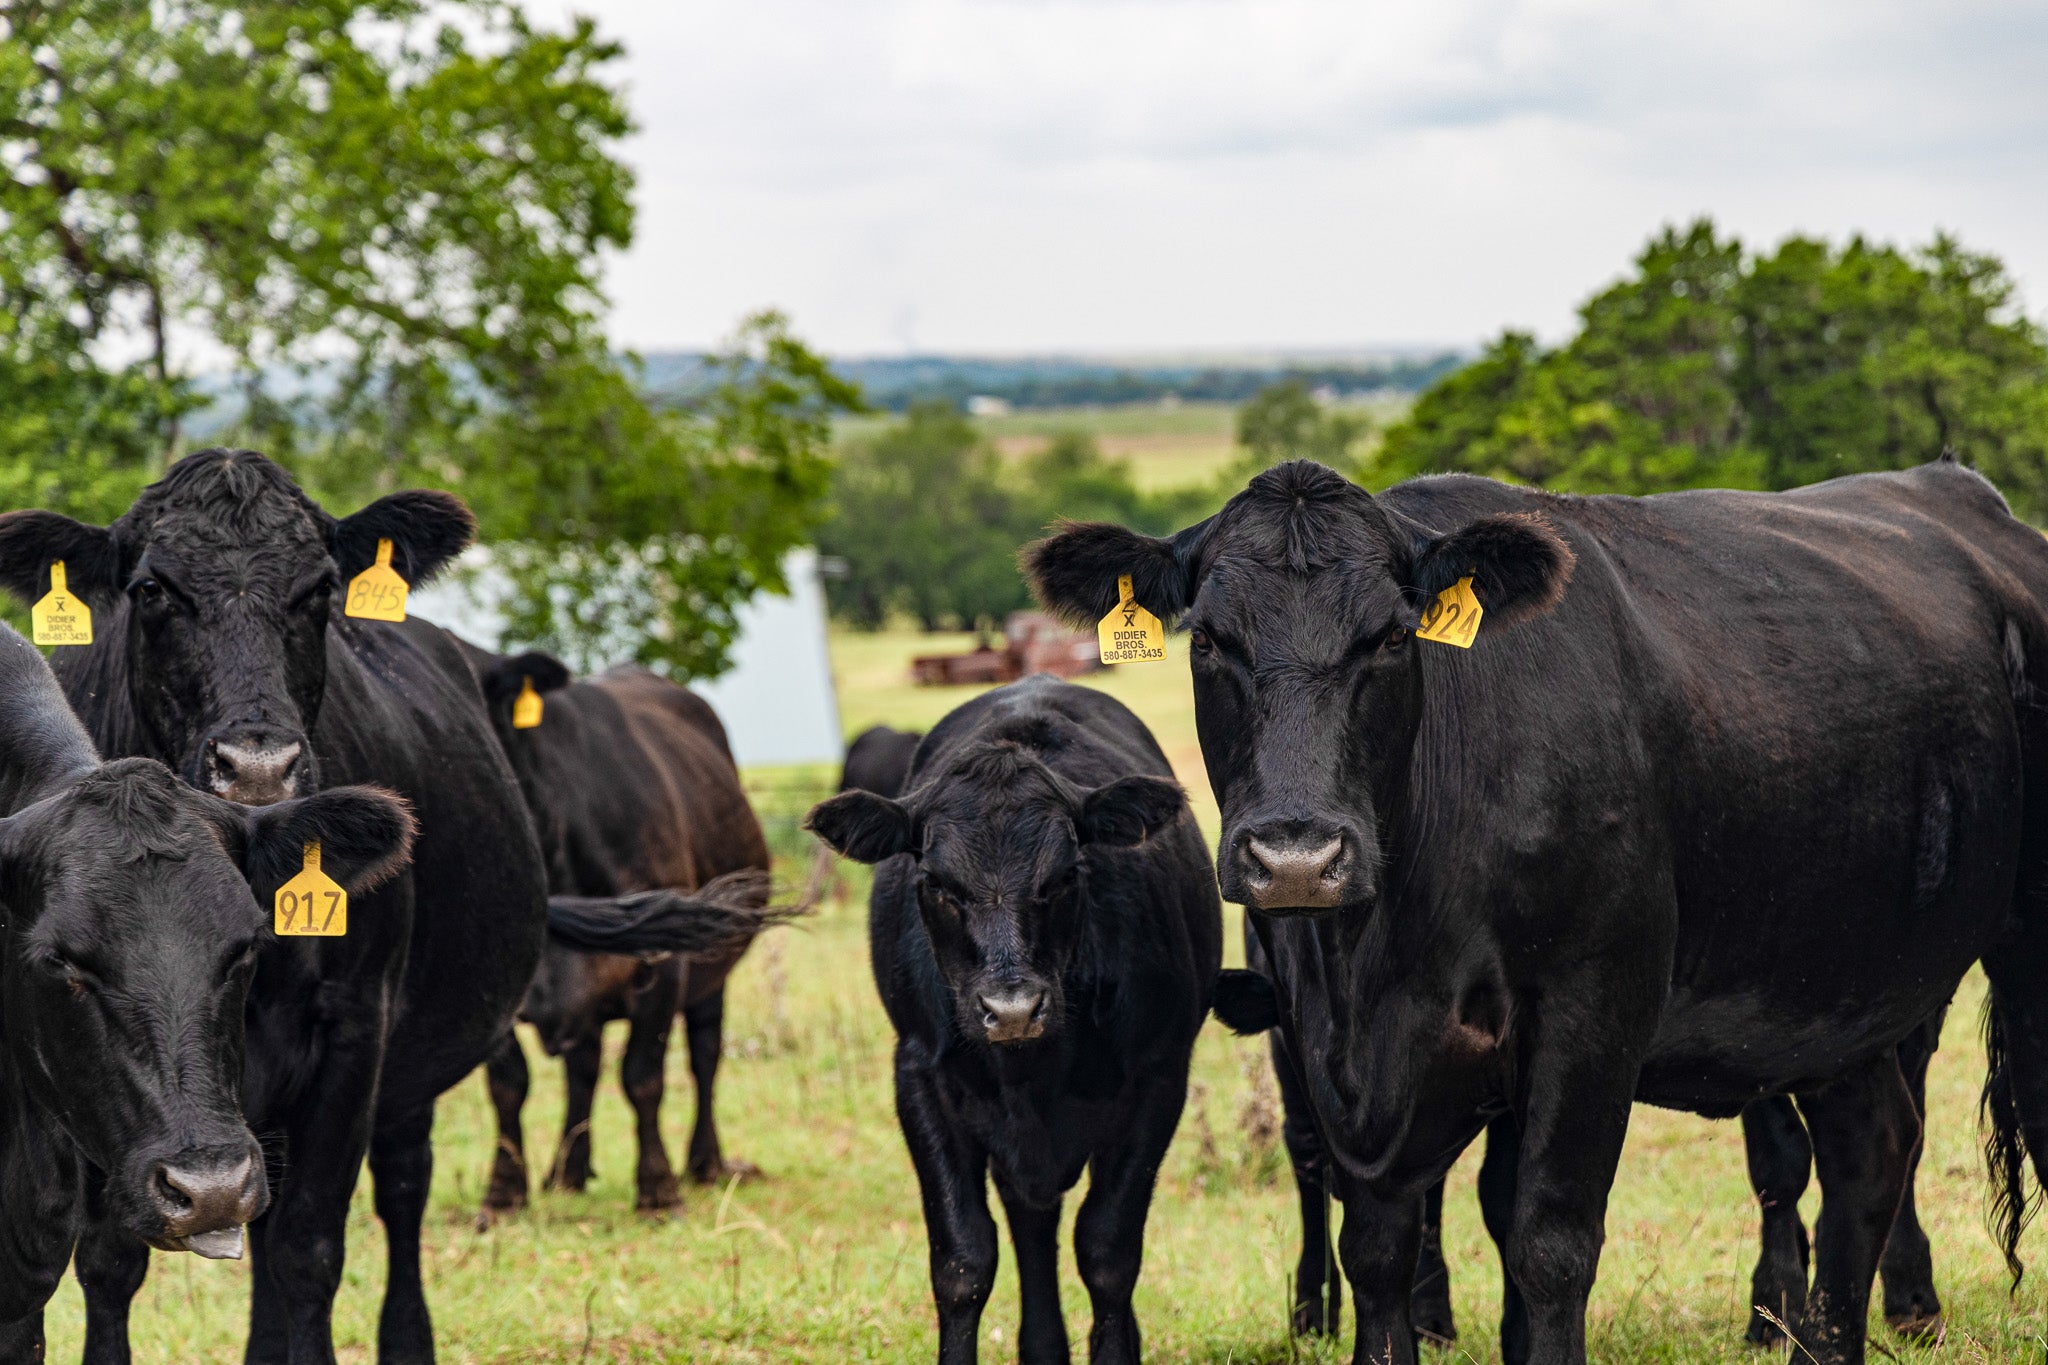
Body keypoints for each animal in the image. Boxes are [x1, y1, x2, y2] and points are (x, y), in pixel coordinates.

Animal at [462, 646, 774, 1219]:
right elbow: (508, 1082)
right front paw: (503, 1194)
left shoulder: (665, 965)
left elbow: (642, 1076)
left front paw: (657, 1190)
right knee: (582, 1067)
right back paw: (567, 1171)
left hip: (712, 970)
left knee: (704, 1056)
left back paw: (705, 1162)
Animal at [798, 679, 1212, 1358]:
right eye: (936, 882)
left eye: (1067, 874)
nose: (1012, 1010)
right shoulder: (920, 1078)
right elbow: (963, 1261)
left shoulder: (1157, 1078)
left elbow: (1108, 1253)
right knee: (1030, 1223)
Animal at [1024, 462, 2048, 1365]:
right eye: (1207, 642)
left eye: (1390, 637)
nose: (1297, 855)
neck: (1379, 957)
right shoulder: (1331, 1049)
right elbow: (1380, 1252)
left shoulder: (1593, 1005)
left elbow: (1549, 1245)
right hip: (1838, 985)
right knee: (1869, 1154)